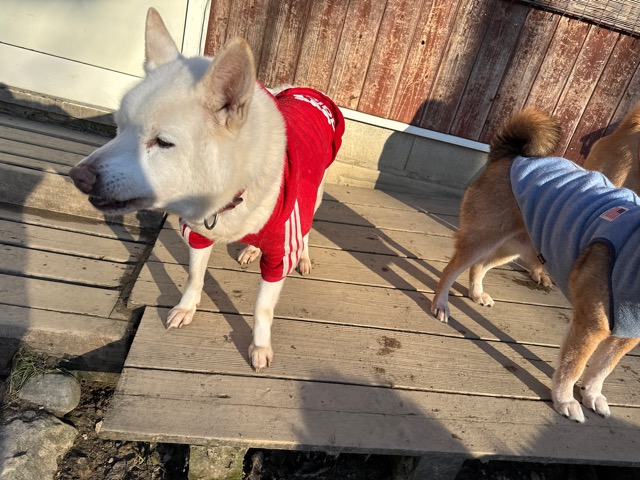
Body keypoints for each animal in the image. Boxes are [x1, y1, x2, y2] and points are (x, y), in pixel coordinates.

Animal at [68, 8, 345, 371]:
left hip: (315, 196)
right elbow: (194, 276)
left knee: (308, 226)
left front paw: (259, 345)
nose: (77, 176)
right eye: (119, 128)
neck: (229, 200)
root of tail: (306, 89)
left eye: (163, 142)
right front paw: (186, 308)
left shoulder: (278, 254)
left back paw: (304, 256)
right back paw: (250, 248)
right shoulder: (198, 234)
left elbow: (263, 307)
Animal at [431, 109, 640, 422]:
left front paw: (592, 395)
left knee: (479, 266)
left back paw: (477, 293)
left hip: (512, 246)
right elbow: (573, 367)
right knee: (451, 269)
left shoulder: (626, 337)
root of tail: (512, 155)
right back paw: (441, 304)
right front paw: (565, 400)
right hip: (484, 236)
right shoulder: (591, 326)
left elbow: (602, 369)